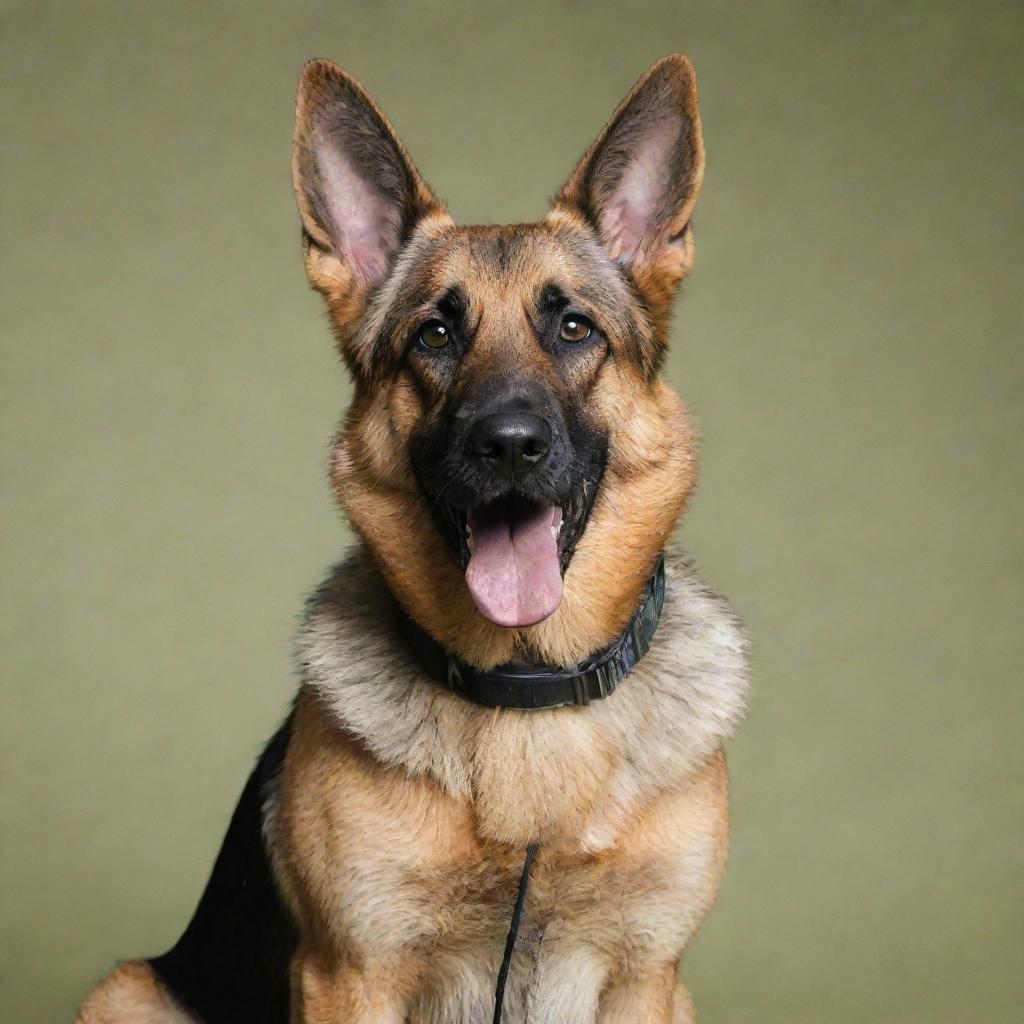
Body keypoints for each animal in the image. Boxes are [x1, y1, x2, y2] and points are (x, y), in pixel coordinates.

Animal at [75, 54, 749, 1024]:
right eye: (434, 333)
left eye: (572, 327)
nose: (509, 444)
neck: (526, 696)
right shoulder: (351, 974)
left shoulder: (647, 978)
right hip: (126, 990)